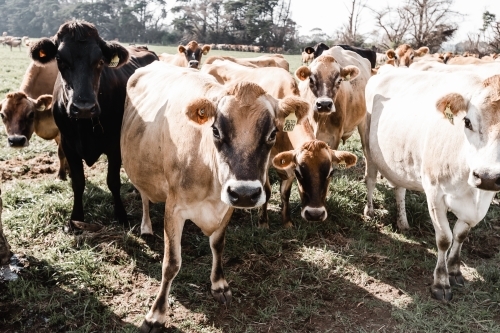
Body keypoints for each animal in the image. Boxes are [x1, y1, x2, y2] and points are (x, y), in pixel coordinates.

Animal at [29, 18, 158, 231]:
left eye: (100, 61)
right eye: (60, 60)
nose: (84, 107)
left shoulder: (115, 145)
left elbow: (113, 181)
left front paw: (121, 215)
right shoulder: (68, 145)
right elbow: (78, 182)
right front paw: (76, 218)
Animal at [119, 60, 310, 330]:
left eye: (273, 134)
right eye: (216, 130)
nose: (245, 193)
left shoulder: (227, 205)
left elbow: (218, 245)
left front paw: (219, 284)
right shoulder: (174, 208)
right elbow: (171, 263)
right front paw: (156, 315)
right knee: (145, 195)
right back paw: (146, 226)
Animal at [362, 65, 500, 300]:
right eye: (467, 121)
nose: (487, 176)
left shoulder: (483, 200)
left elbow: (460, 235)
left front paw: (455, 271)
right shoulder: (435, 193)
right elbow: (444, 238)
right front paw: (441, 283)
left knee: (400, 189)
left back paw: (403, 221)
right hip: (368, 147)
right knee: (370, 179)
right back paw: (369, 211)